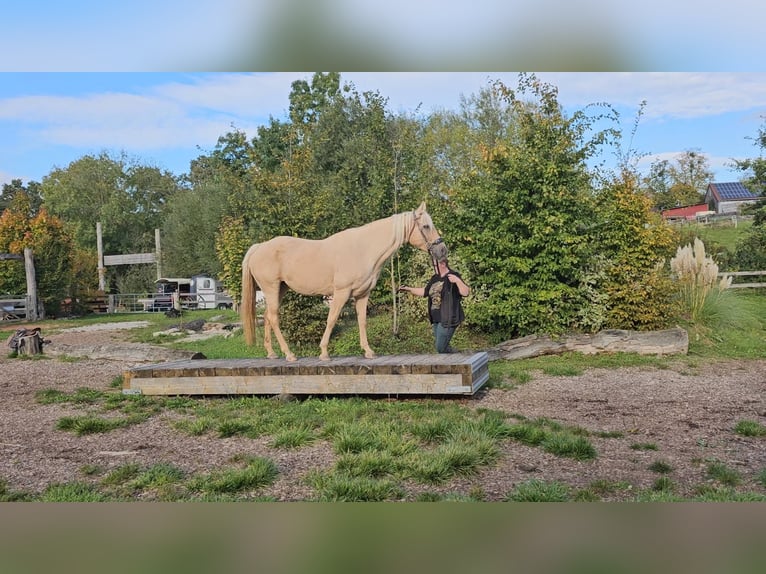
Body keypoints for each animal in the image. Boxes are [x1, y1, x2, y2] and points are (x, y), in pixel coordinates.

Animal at [241, 201, 444, 361]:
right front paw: (324, 353)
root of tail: (258, 247)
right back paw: (289, 354)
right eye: (426, 226)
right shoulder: (341, 293)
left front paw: (368, 351)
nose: (442, 250)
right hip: (271, 288)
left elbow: (362, 321)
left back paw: (272, 353)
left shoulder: (362, 295)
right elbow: (331, 319)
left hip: (279, 289)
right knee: (274, 318)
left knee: (267, 316)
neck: (363, 249)